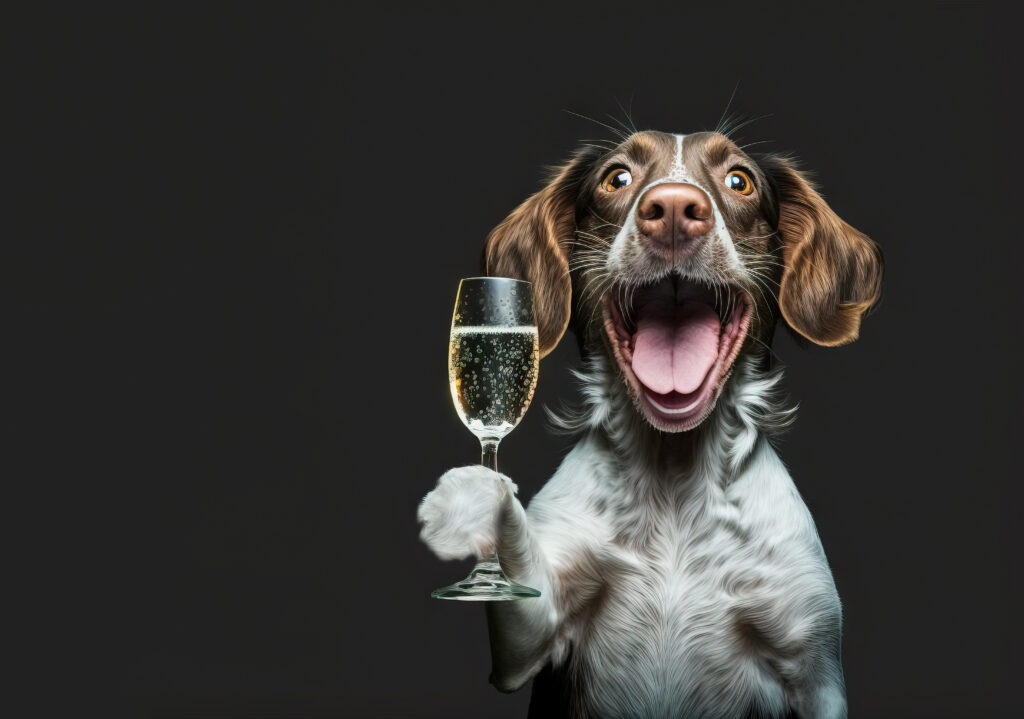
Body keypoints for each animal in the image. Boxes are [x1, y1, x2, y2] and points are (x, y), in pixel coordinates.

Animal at [419, 129, 884, 719]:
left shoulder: (816, 672)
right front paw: (469, 502)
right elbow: (517, 550)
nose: (674, 211)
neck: (674, 479)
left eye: (740, 180)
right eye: (616, 177)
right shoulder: (527, 641)